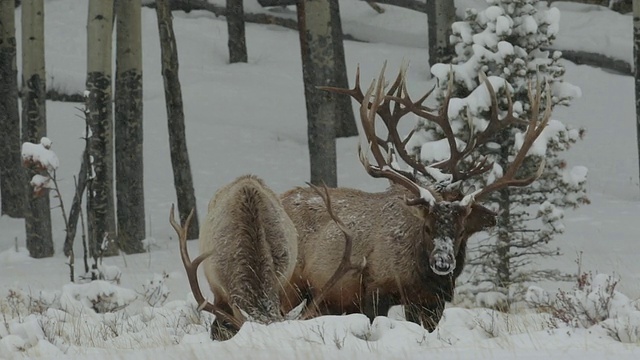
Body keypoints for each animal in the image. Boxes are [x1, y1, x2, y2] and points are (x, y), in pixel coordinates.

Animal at [282, 64, 552, 332]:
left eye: (461, 231)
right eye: (428, 228)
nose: (442, 262)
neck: (418, 274)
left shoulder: (430, 301)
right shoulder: (375, 288)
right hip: (290, 282)